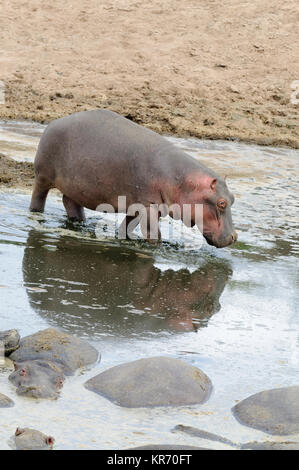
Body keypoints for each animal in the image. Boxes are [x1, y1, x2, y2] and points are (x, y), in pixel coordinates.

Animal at [29, 109, 237, 248]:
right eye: (221, 203)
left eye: (233, 199)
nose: (234, 237)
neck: (184, 181)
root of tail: (54, 122)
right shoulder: (148, 206)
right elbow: (153, 233)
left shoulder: (138, 206)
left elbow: (127, 227)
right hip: (43, 177)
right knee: (39, 196)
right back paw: (36, 213)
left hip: (76, 187)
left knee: (70, 202)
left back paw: (79, 222)